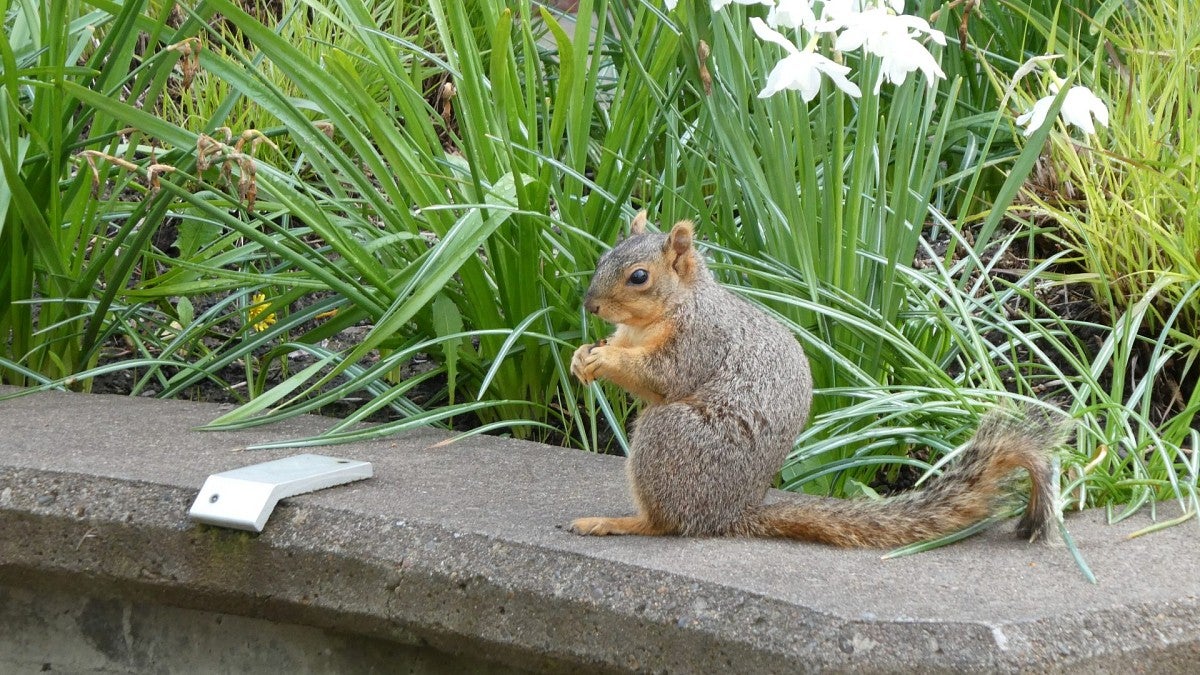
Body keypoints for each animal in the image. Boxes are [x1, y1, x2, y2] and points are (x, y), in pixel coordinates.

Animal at [568, 212, 1065, 547]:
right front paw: (581, 356)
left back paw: (618, 523)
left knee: (666, 523)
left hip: (668, 437)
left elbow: (660, 375)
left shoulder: (700, 341)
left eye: (639, 277)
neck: (653, 320)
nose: (589, 306)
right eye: (604, 257)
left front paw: (605, 359)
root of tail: (730, 513)